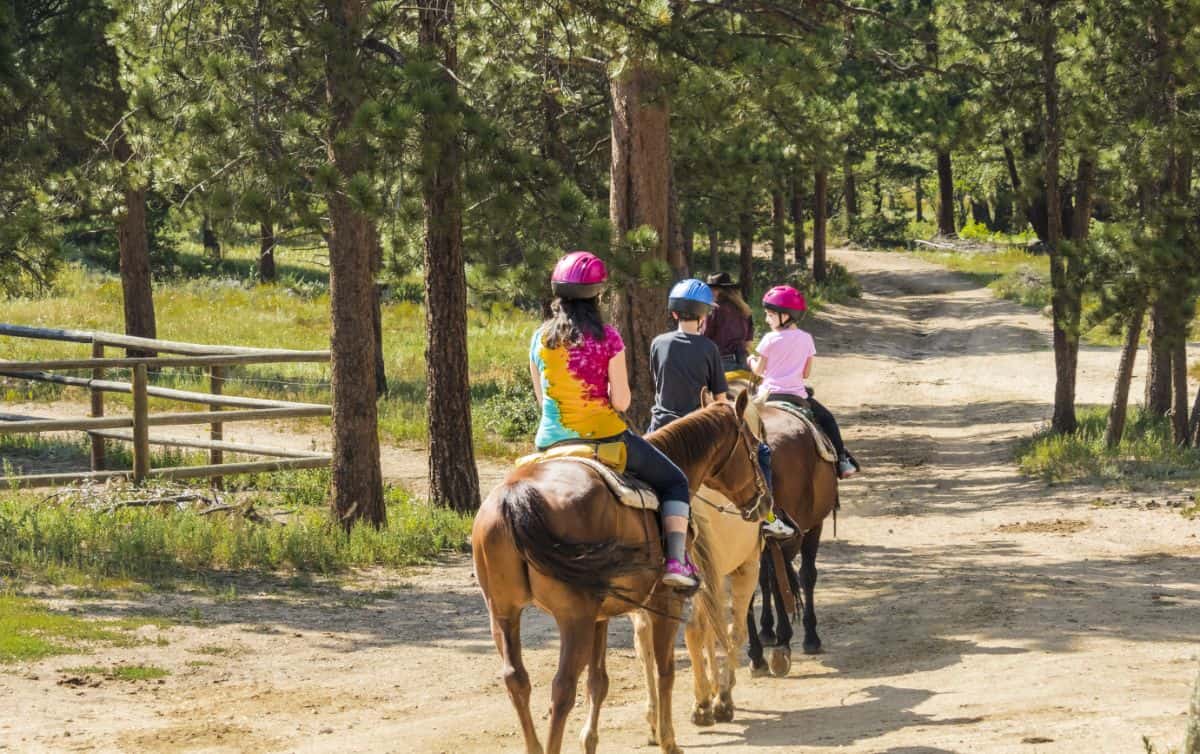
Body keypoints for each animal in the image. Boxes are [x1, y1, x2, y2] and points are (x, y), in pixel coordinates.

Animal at [470, 393, 768, 754]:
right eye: (754, 443)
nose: (763, 500)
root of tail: (515, 497)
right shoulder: (665, 601)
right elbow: (665, 668)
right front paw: (669, 738)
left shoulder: (602, 615)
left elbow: (599, 681)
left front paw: (590, 741)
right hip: (573, 619)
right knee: (562, 688)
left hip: (504, 613)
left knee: (517, 680)